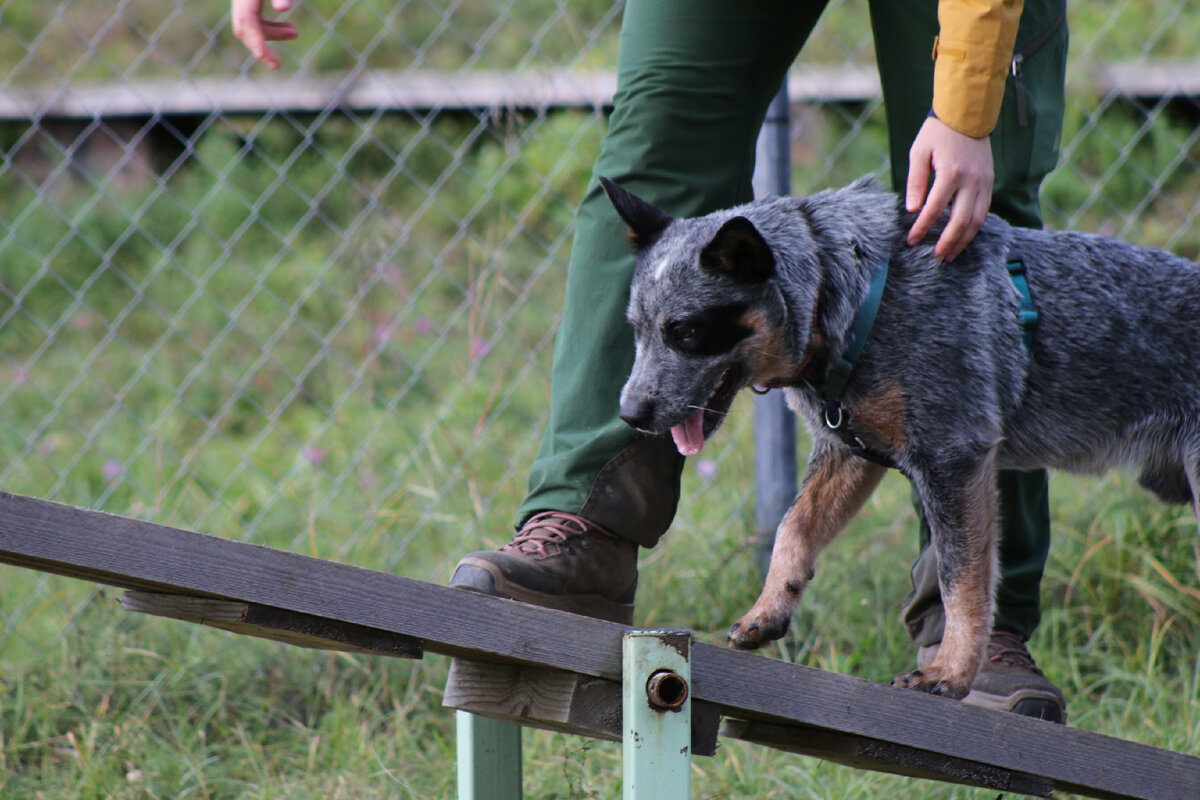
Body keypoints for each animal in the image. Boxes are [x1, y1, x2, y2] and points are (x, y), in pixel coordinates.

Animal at [604, 176, 1200, 700]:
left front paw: (952, 673)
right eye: (635, 329)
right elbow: (793, 528)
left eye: (685, 331)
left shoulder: (953, 457)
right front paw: (767, 611)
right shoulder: (850, 449)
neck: (853, 294)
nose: (629, 413)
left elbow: (963, 581)